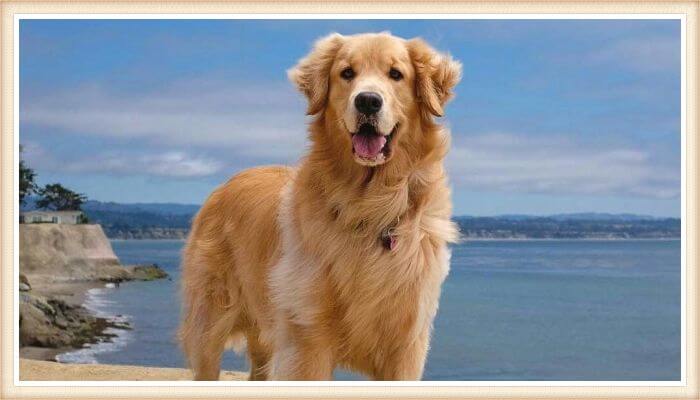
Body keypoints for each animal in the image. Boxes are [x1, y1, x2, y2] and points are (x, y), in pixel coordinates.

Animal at [179, 32, 460, 382]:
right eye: (347, 73)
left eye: (396, 74)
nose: (368, 101)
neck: (369, 206)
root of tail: (225, 184)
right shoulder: (307, 337)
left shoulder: (406, 344)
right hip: (210, 321)